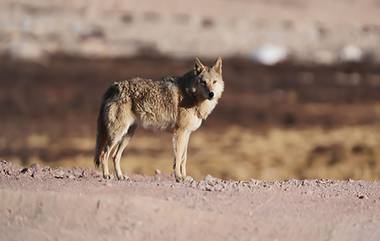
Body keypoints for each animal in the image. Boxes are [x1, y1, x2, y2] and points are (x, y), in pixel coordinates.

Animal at [94, 57, 223, 182]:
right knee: (103, 154)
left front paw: (185, 177)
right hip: (117, 134)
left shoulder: (187, 133)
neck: (192, 96)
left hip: (127, 135)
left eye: (214, 82)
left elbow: (183, 159)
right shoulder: (179, 133)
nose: (211, 94)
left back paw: (120, 176)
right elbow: (178, 158)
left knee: (115, 156)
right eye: (203, 82)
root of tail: (115, 86)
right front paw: (178, 177)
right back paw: (106, 175)